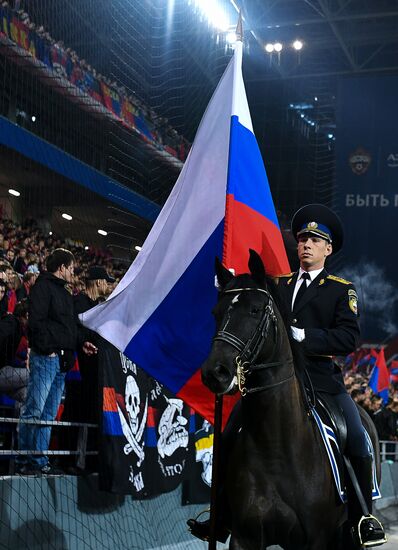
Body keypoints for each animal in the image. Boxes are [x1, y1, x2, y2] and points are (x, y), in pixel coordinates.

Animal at [201, 251, 380, 550]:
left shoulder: (315, 540)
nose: (215, 373)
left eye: (255, 310)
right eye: (215, 313)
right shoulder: (244, 538)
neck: (275, 444)